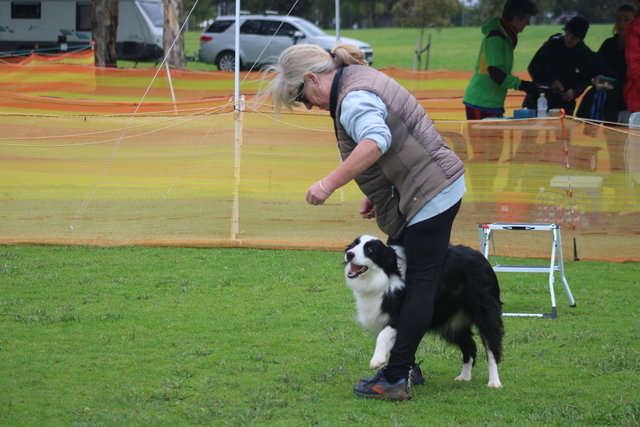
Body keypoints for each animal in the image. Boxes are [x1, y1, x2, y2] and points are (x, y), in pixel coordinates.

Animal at [344, 235, 504, 388]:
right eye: (353, 245)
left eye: (370, 250)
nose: (349, 254)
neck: (384, 277)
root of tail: (480, 255)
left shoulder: (401, 315)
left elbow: (383, 335)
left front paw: (377, 360)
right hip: (452, 321)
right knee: (469, 346)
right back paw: (464, 376)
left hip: (485, 311)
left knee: (492, 346)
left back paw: (494, 381)